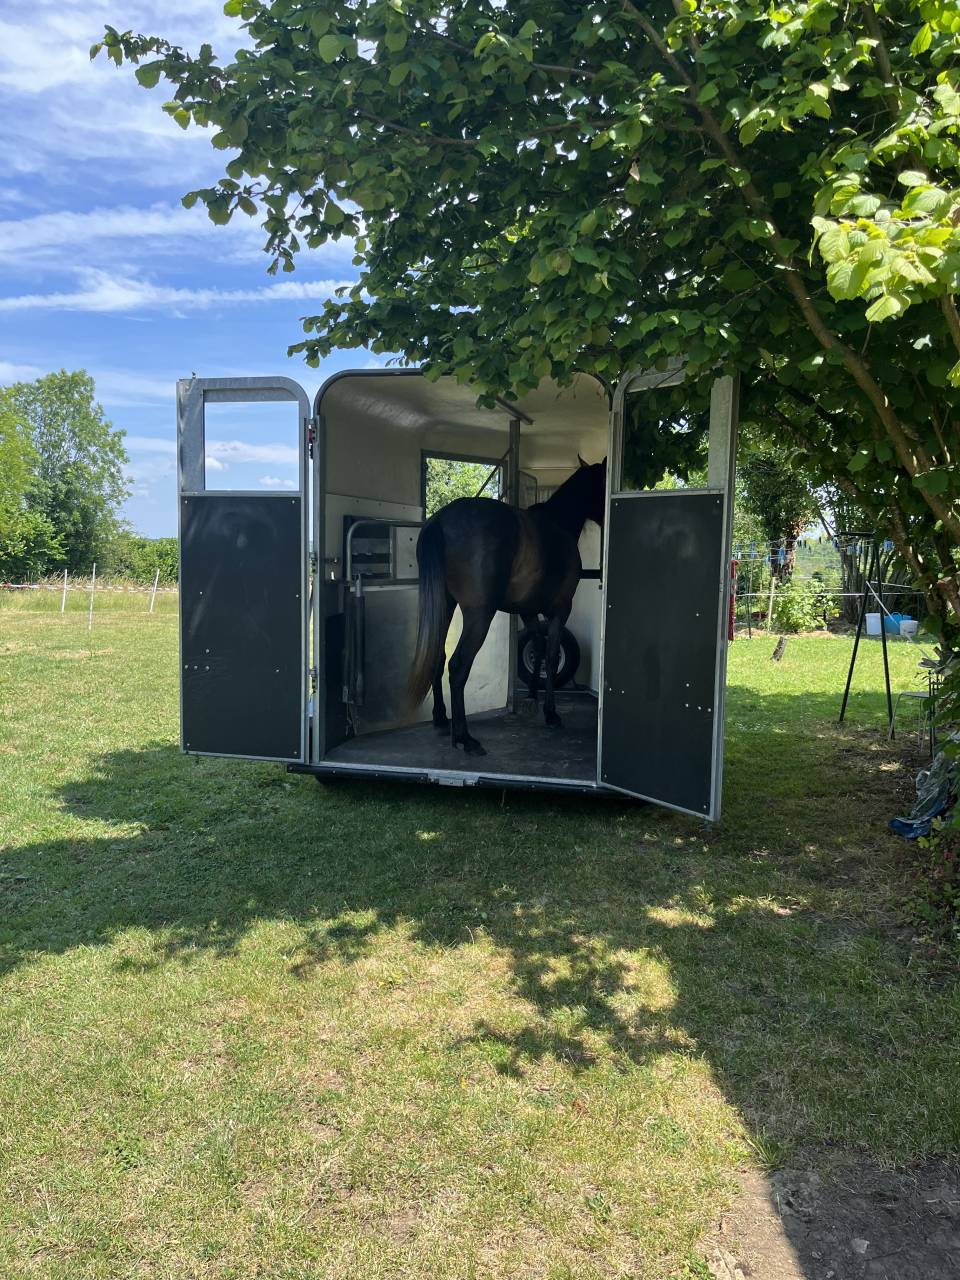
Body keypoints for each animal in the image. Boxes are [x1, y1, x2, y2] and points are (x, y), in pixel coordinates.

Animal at [408, 457, 607, 756]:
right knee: (458, 666)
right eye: (604, 481)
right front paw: (550, 712)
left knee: (439, 657)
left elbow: (538, 647)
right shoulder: (561, 610)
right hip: (479, 615)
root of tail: (441, 520)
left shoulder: (527, 610)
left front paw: (533, 695)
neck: (557, 524)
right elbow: (550, 655)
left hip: (445, 605)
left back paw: (442, 719)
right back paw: (465, 738)